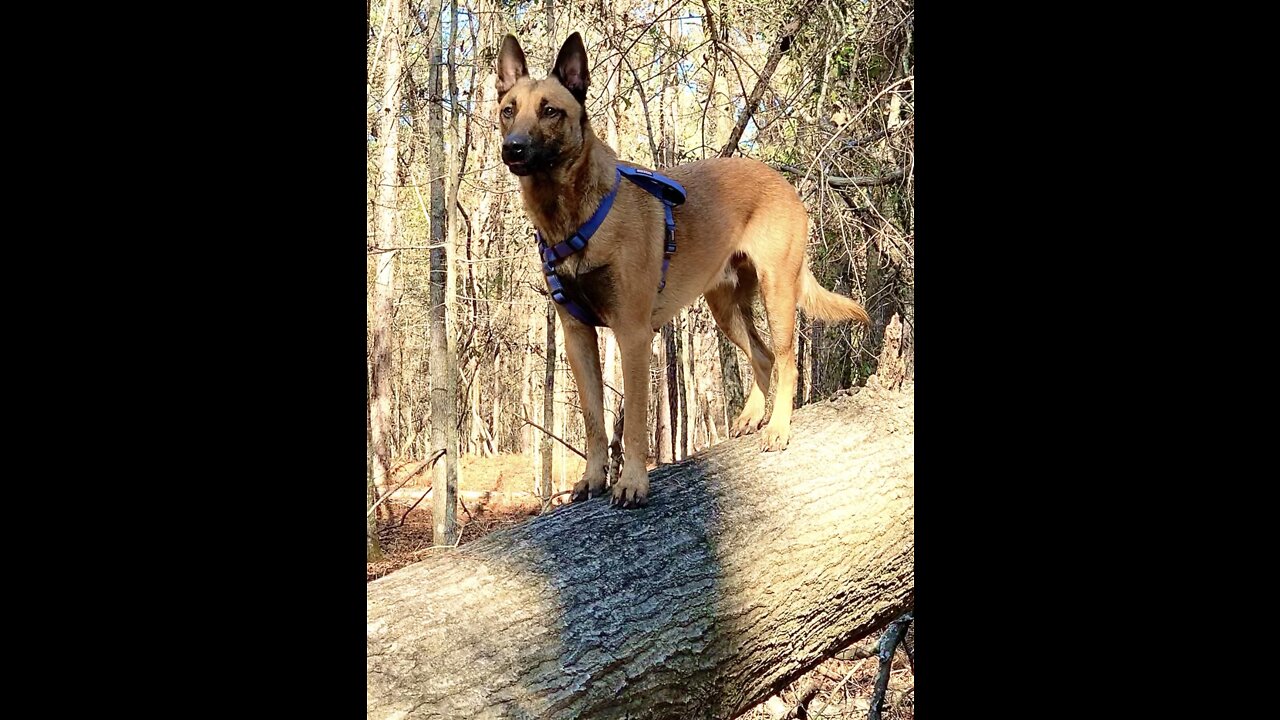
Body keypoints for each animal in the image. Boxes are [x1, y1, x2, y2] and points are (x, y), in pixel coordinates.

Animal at [491, 32, 870, 504]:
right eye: (508, 110)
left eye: (549, 111)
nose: (513, 148)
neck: (573, 215)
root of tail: (782, 180)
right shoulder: (577, 337)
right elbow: (595, 420)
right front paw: (593, 477)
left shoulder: (632, 335)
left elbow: (634, 421)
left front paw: (632, 482)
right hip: (725, 308)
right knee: (762, 356)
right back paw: (752, 416)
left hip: (777, 292)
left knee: (786, 359)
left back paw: (778, 427)